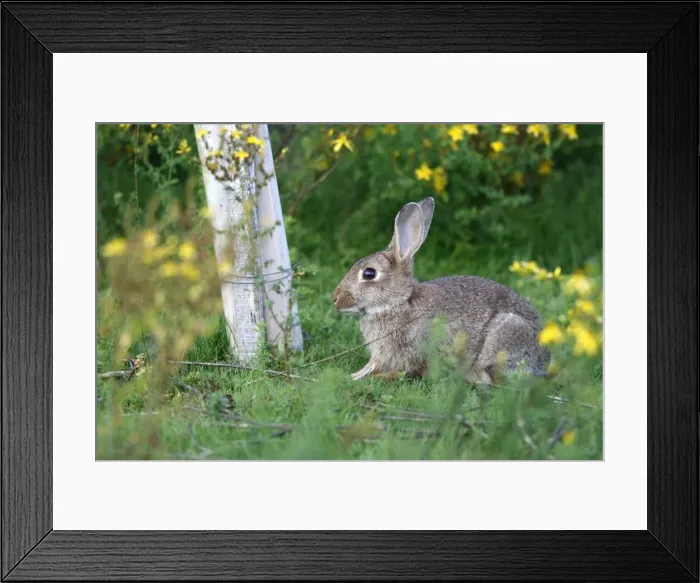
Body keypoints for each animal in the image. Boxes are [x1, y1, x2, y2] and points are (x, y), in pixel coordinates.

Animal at [331, 197, 551, 385]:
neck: (401, 302)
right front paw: (354, 375)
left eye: (369, 273)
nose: (335, 297)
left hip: (505, 338)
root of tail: (545, 361)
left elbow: (403, 372)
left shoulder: (415, 353)